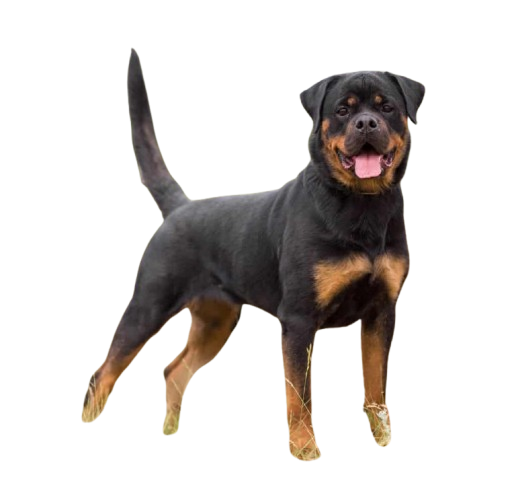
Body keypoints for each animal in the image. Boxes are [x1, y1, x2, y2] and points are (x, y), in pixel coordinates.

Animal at [81, 48, 425, 461]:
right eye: (343, 110)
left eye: (387, 106)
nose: (366, 123)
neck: (362, 207)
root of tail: (180, 208)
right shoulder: (298, 318)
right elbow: (300, 393)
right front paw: (305, 448)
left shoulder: (382, 310)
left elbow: (375, 383)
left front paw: (382, 437)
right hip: (149, 304)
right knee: (105, 371)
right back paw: (91, 420)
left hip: (217, 320)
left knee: (174, 369)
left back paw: (171, 429)